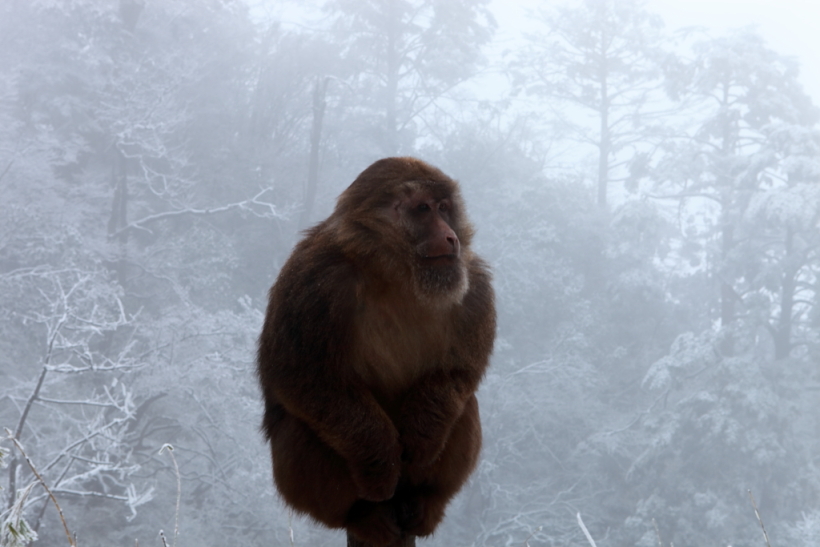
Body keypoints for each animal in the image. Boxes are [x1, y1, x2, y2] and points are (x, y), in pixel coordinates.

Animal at [256, 156, 496, 544]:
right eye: (423, 209)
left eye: (445, 207)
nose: (451, 236)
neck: (397, 274)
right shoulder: (314, 283)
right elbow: (302, 376)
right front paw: (381, 463)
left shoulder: (474, 285)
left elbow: (459, 372)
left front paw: (421, 437)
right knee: (296, 425)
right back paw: (360, 515)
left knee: (463, 405)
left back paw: (428, 502)